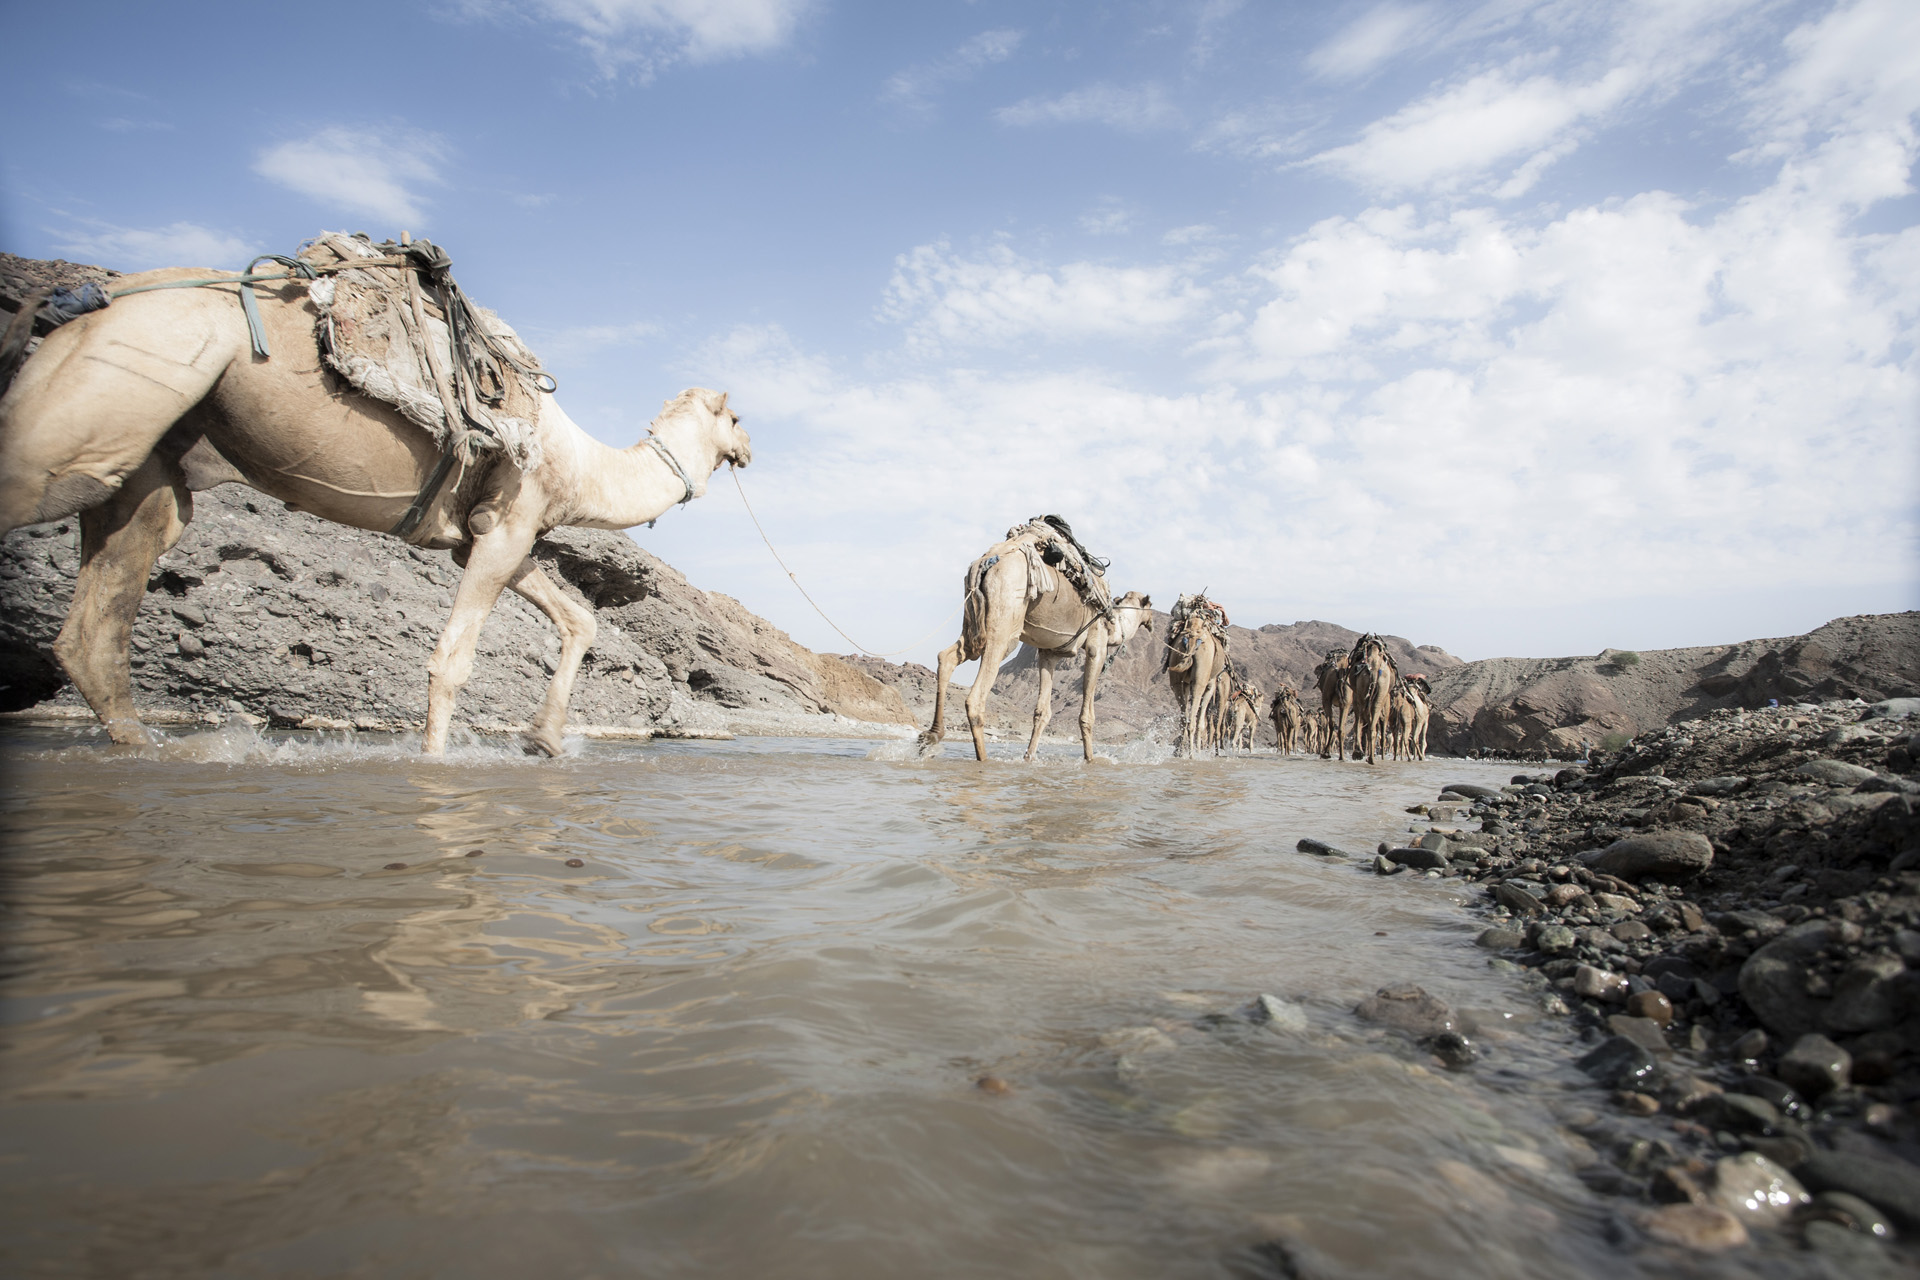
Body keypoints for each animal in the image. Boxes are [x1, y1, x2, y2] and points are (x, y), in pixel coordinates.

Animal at [0, 264, 750, 755]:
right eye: (736, 416)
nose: (748, 446)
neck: (583, 465)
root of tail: (88, 301)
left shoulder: (490, 536)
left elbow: (580, 619)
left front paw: (543, 741)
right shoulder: (510, 521)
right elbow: (452, 659)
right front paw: (438, 767)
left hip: (149, 453)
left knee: (100, 617)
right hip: (100, 403)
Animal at [921, 522, 1151, 762]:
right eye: (1149, 605)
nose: (1151, 621)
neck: (1115, 623)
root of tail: (984, 563)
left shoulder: (1049, 652)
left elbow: (1042, 711)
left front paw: (1028, 758)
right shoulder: (1097, 645)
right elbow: (1087, 715)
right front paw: (1090, 759)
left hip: (972, 620)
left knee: (947, 657)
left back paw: (932, 735)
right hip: (1005, 626)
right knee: (976, 697)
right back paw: (983, 760)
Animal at [1164, 594, 1228, 758]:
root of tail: (1192, 638)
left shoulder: (1187, 683)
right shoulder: (1210, 685)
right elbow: (1201, 720)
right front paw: (1199, 749)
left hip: (1176, 672)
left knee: (1184, 717)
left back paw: (1181, 752)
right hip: (1201, 676)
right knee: (1194, 719)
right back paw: (1193, 754)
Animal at [1348, 633, 1399, 765]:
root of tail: (1374, 667)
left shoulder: (1356, 695)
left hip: (1364, 693)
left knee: (1364, 722)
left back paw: (1361, 754)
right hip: (1379, 695)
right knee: (1372, 726)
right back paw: (1369, 757)